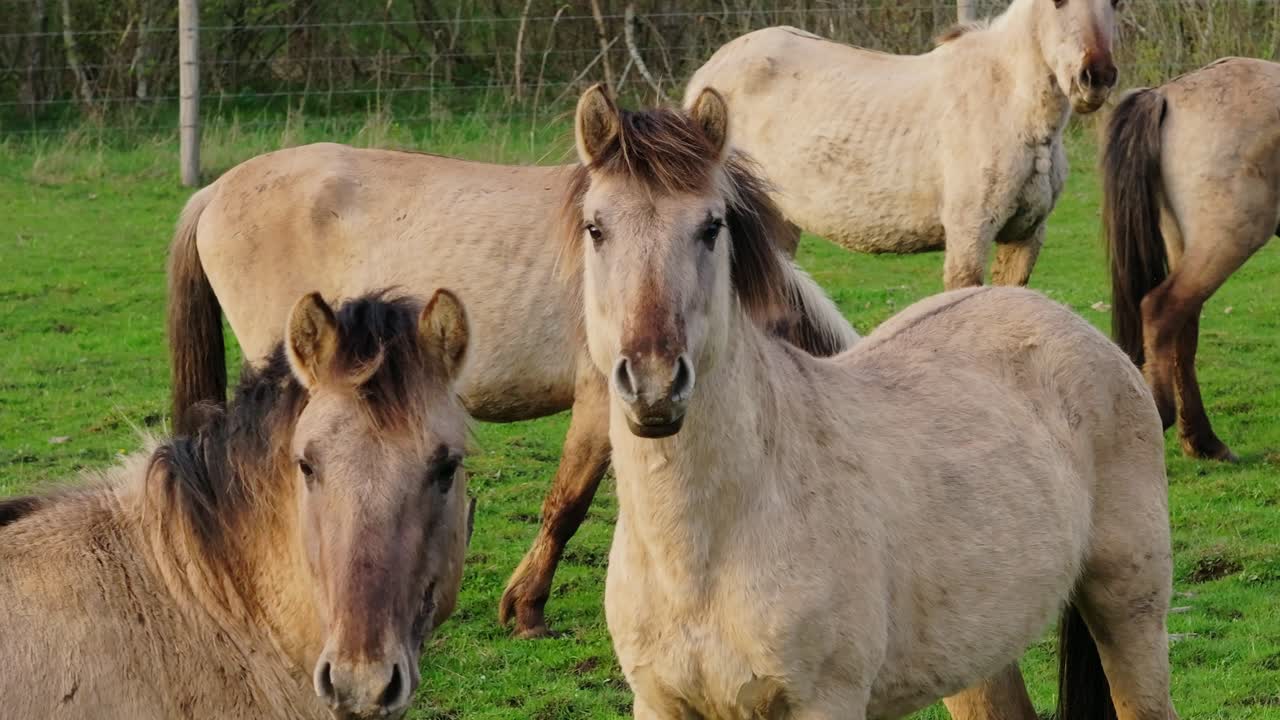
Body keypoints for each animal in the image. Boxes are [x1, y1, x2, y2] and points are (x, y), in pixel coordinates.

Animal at [167, 106, 856, 641]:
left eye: (713, 226)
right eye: (595, 228)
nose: (657, 378)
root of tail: (215, 190)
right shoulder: (602, 403)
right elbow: (567, 505)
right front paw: (527, 610)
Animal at [565, 85, 1177, 719]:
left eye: (712, 226)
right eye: (595, 228)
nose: (653, 382)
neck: (700, 558)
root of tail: (1078, 329)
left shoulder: (825, 701)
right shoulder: (659, 703)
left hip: (1129, 613)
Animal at [685, 0, 1120, 290]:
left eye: (1114, 2)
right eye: (1057, 1)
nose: (1095, 77)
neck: (1011, 104)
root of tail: (706, 75)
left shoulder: (1026, 237)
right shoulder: (968, 234)